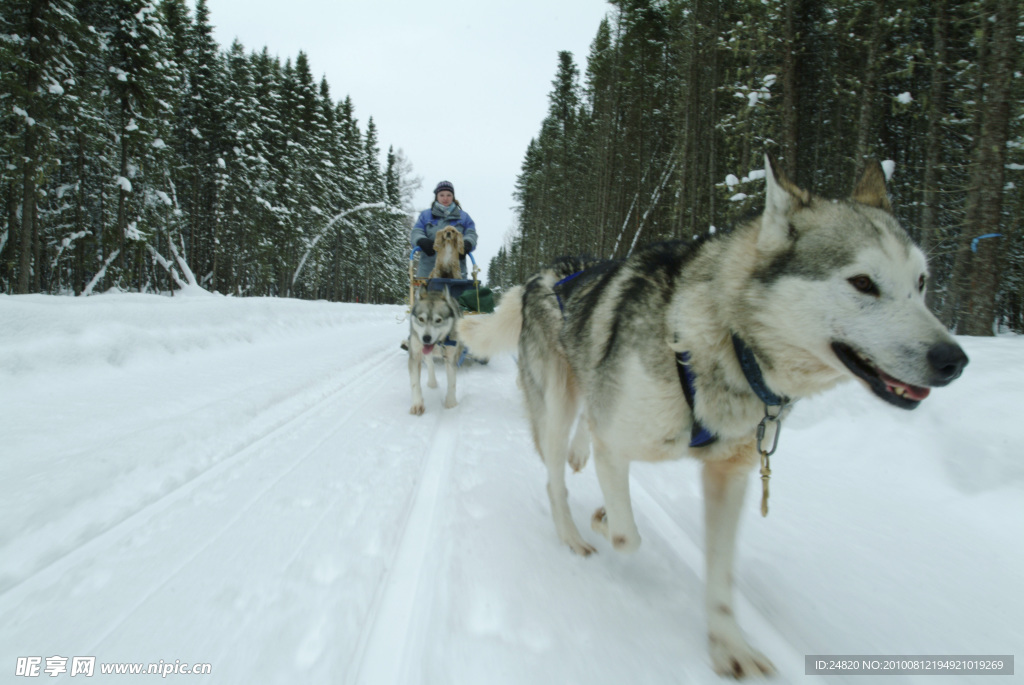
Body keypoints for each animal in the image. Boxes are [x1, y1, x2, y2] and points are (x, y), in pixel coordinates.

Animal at [405, 282, 462, 413]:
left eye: (438, 320)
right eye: (421, 319)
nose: (426, 338)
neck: (438, 344)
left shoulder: (451, 358)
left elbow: (452, 382)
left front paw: (451, 403)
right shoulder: (415, 356)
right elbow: (415, 383)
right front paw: (417, 403)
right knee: (430, 363)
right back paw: (432, 382)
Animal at [458, 156, 966, 679]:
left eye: (921, 283)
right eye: (863, 282)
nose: (954, 359)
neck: (723, 340)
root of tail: (541, 275)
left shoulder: (729, 474)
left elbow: (721, 575)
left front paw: (729, 646)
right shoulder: (617, 446)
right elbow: (627, 535)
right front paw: (602, 518)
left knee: (582, 434)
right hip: (556, 405)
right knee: (554, 478)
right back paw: (571, 534)